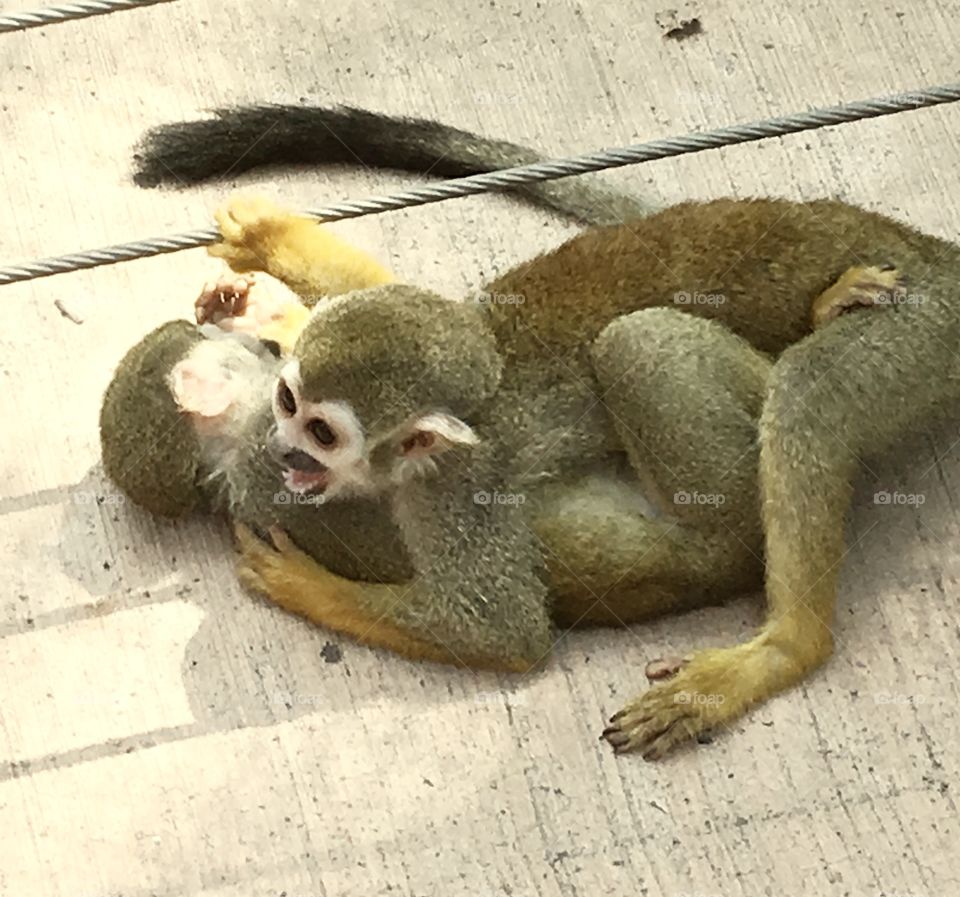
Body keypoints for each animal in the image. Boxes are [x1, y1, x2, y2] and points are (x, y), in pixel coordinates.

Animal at [225, 194, 960, 759]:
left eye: (322, 435)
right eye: (287, 402)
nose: (283, 451)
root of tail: (937, 252)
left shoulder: (454, 486)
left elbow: (502, 631)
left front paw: (303, 584)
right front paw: (271, 239)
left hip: (924, 333)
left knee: (695, 359)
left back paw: (785, 647)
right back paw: (823, 309)